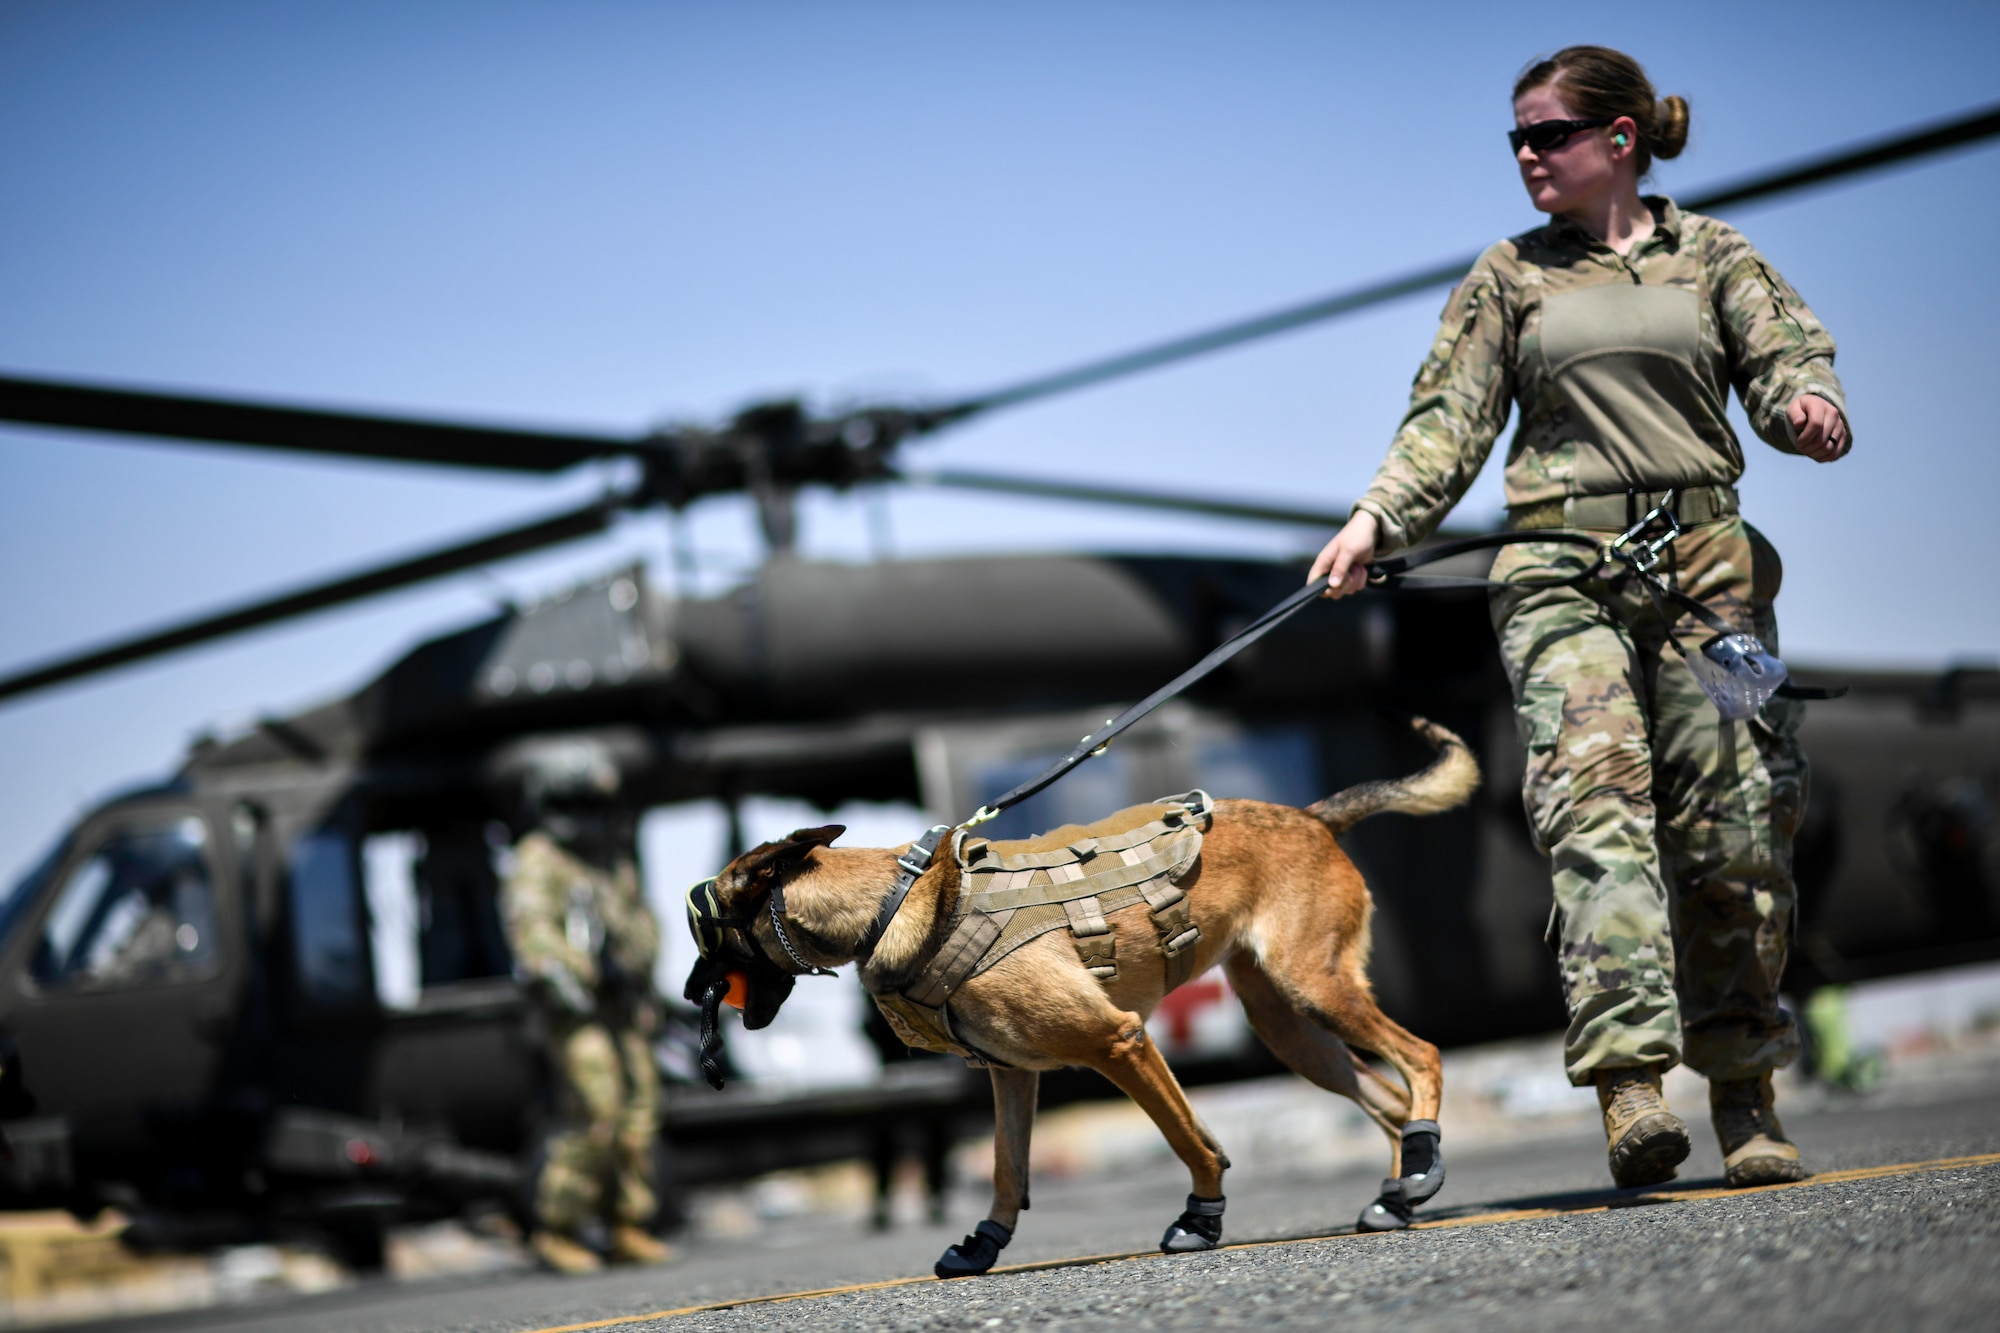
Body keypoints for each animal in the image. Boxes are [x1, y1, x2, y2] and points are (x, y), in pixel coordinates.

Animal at [680, 712, 1480, 1272]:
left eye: (703, 932)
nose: (687, 996)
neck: (898, 902)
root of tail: (1314, 816)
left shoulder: (1119, 1041)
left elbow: (1191, 1140)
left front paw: (1202, 1217)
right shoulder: (1011, 1074)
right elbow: (1008, 1166)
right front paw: (985, 1242)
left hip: (1315, 987)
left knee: (1422, 1057)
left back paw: (1419, 1165)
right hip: (1290, 1026)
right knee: (1388, 1097)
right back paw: (1401, 1190)